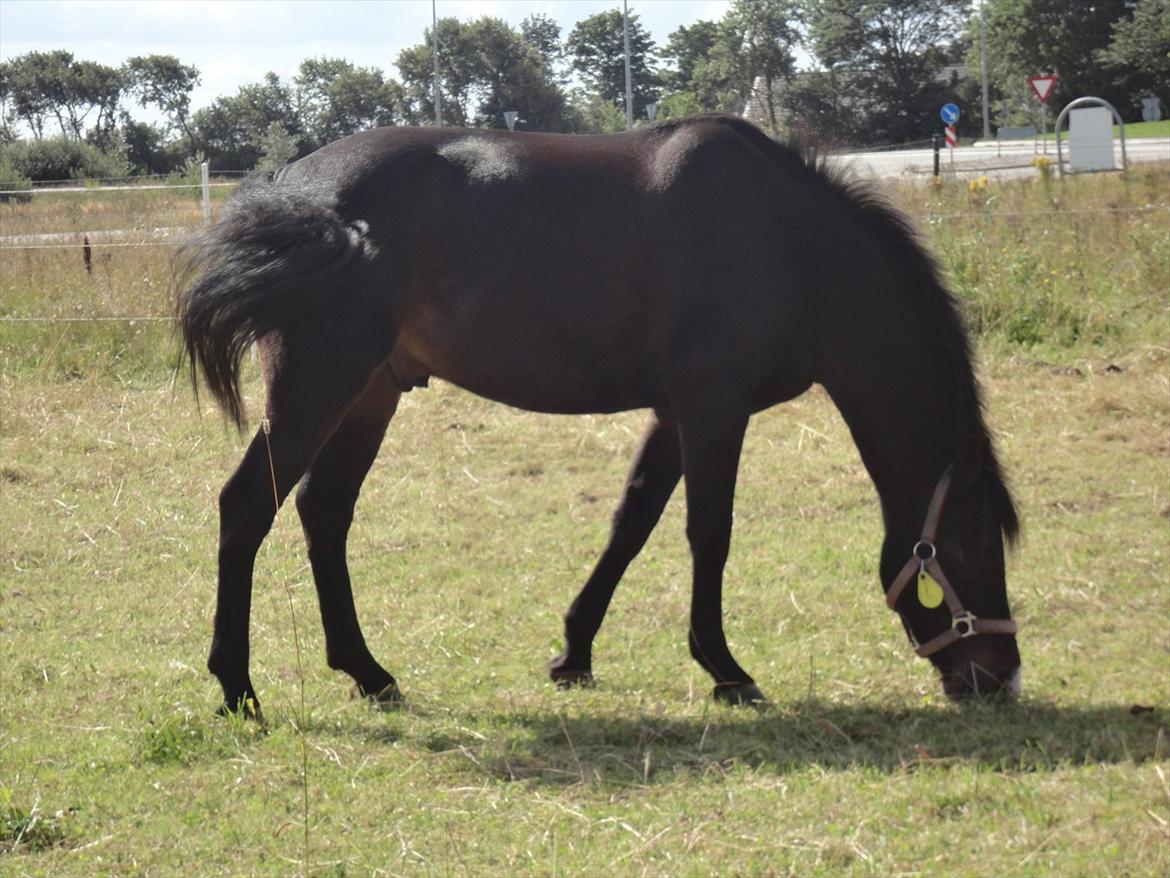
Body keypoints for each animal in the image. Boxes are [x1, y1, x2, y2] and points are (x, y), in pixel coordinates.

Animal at [177, 113, 1020, 716]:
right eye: (970, 549)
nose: (1000, 677)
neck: (786, 245)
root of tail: (288, 186)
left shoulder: (674, 413)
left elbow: (631, 523)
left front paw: (574, 654)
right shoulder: (713, 407)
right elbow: (709, 533)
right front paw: (726, 670)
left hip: (369, 393)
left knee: (324, 511)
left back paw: (368, 673)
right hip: (320, 383)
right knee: (247, 506)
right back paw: (237, 688)